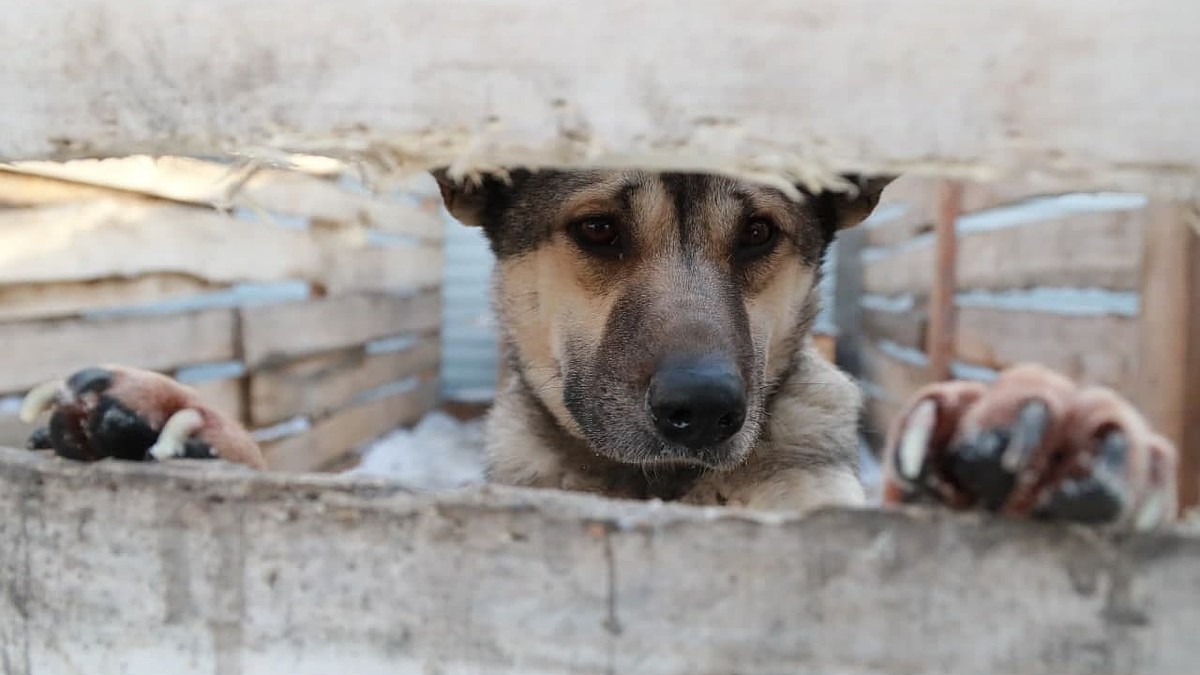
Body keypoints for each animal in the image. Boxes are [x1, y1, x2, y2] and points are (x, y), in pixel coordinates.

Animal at [16, 166, 1180, 526]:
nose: (705, 411)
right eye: (598, 231)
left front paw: (1037, 427)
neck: (657, 489)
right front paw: (178, 421)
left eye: (759, 236)